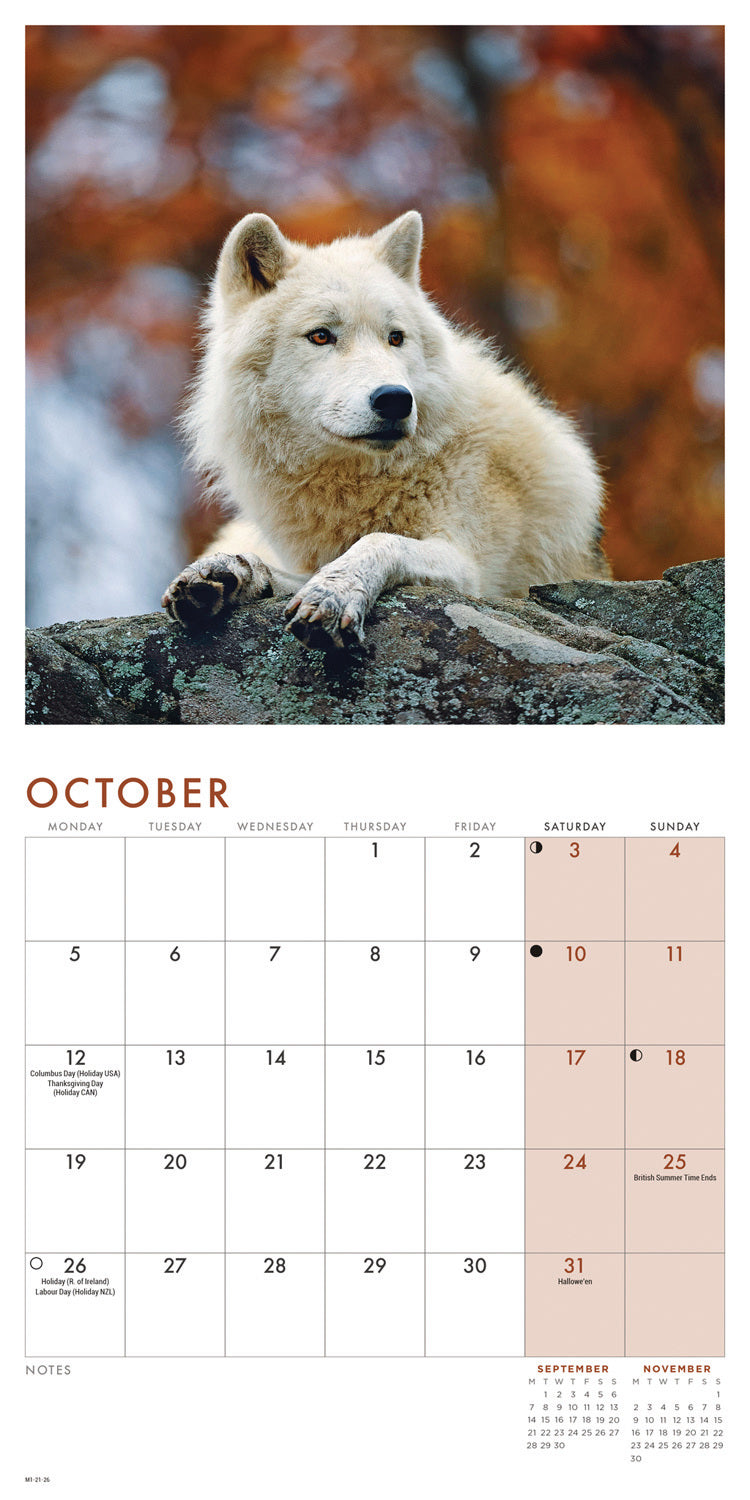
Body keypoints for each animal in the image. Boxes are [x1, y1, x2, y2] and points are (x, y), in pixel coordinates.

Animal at [162, 211, 608, 647]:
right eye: (320, 335)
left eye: (395, 338)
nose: (395, 399)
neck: (362, 482)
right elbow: (294, 571)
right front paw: (230, 574)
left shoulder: (471, 570)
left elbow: (379, 541)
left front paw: (333, 593)